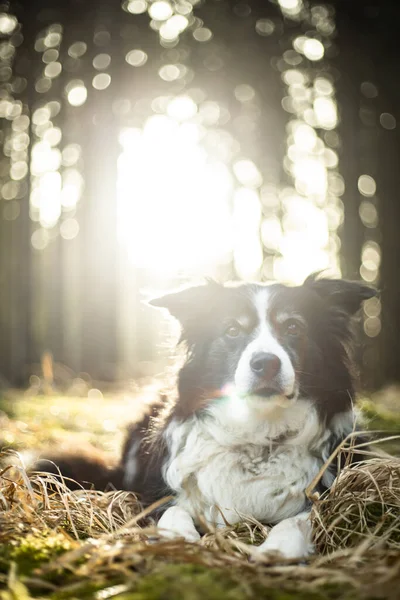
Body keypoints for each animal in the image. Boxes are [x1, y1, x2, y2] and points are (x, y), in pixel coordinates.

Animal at [36, 274, 376, 560]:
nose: (265, 363)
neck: (257, 436)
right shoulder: (156, 490)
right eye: (232, 330)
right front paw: (177, 536)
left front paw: (278, 549)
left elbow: (301, 519)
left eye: (293, 327)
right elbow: (172, 509)